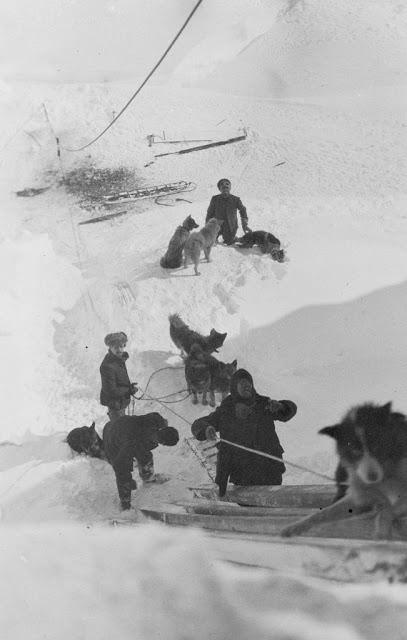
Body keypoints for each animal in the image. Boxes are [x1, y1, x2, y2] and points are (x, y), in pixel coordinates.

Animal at [282, 402, 407, 536]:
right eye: (354, 450)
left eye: (377, 447)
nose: (372, 477)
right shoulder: (357, 497)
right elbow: (322, 513)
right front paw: (295, 526)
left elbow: (386, 512)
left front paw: (381, 530)